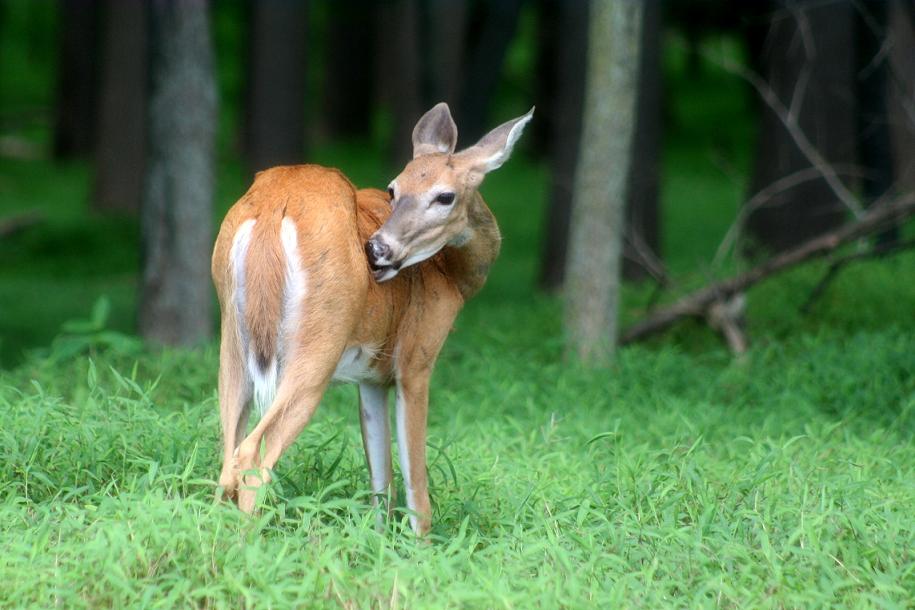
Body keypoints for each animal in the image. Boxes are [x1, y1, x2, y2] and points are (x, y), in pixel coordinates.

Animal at [211, 103, 533, 535]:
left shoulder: (371, 378)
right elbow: (415, 480)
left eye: (445, 195)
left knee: (227, 453)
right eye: (394, 189)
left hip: (232, 335)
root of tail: (273, 209)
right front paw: (421, 545)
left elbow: (381, 478)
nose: (377, 248)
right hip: (319, 341)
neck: (453, 277)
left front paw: (379, 542)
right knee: (252, 452)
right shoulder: (416, 358)